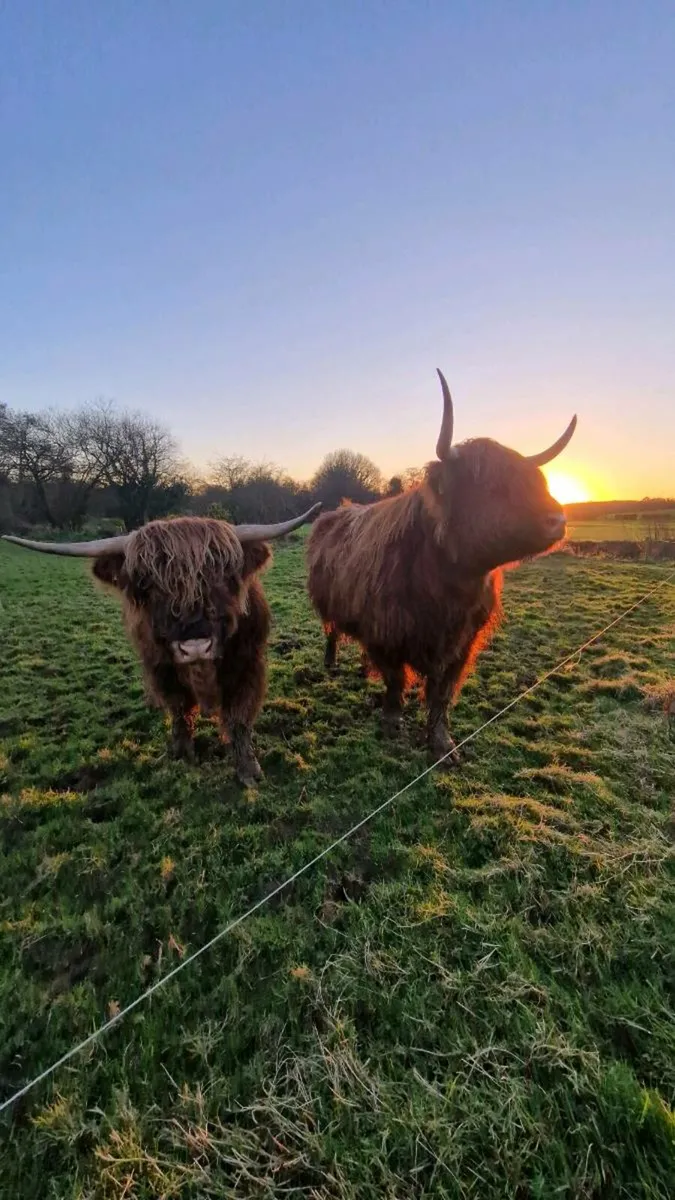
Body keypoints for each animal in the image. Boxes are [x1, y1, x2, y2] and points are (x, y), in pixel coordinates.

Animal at [3, 507, 319, 786]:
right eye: (149, 585)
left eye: (221, 580)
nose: (195, 646)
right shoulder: (161, 668)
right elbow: (179, 709)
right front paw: (180, 754)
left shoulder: (246, 665)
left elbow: (239, 717)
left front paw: (248, 769)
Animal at [306, 370, 577, 759]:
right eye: (491, 485)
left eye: (535, 480)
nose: (557, 519)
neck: (446, 585)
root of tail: (336, 510)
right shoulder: (387, 632)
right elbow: (395, 680)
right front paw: (392, 722)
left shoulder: (462, 641)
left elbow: (442, 693)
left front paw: (442, 743)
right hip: (330, 603)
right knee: (331, 630)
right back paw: (331, 662)